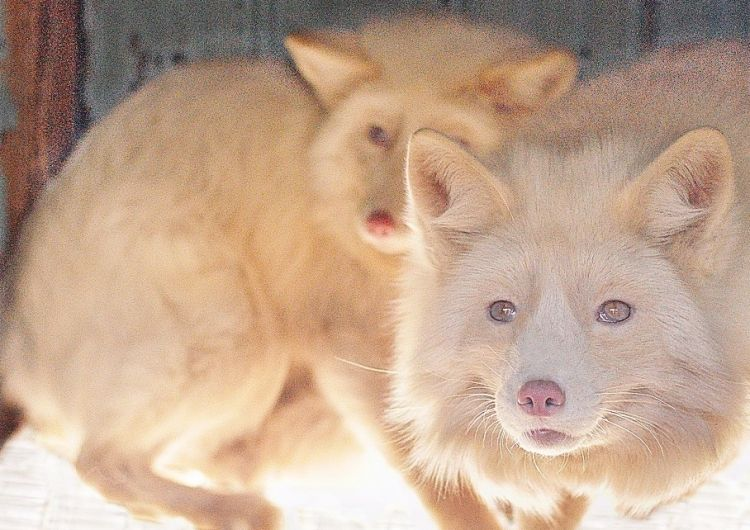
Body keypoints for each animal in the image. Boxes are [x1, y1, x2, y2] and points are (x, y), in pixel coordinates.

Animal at [0, 12, 580, 528]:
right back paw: (236, 512)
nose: (380, 222)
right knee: (100, 462)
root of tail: (18, 338)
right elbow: (443, 483)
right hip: (245, 341)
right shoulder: (349, 344)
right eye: (377, 134)